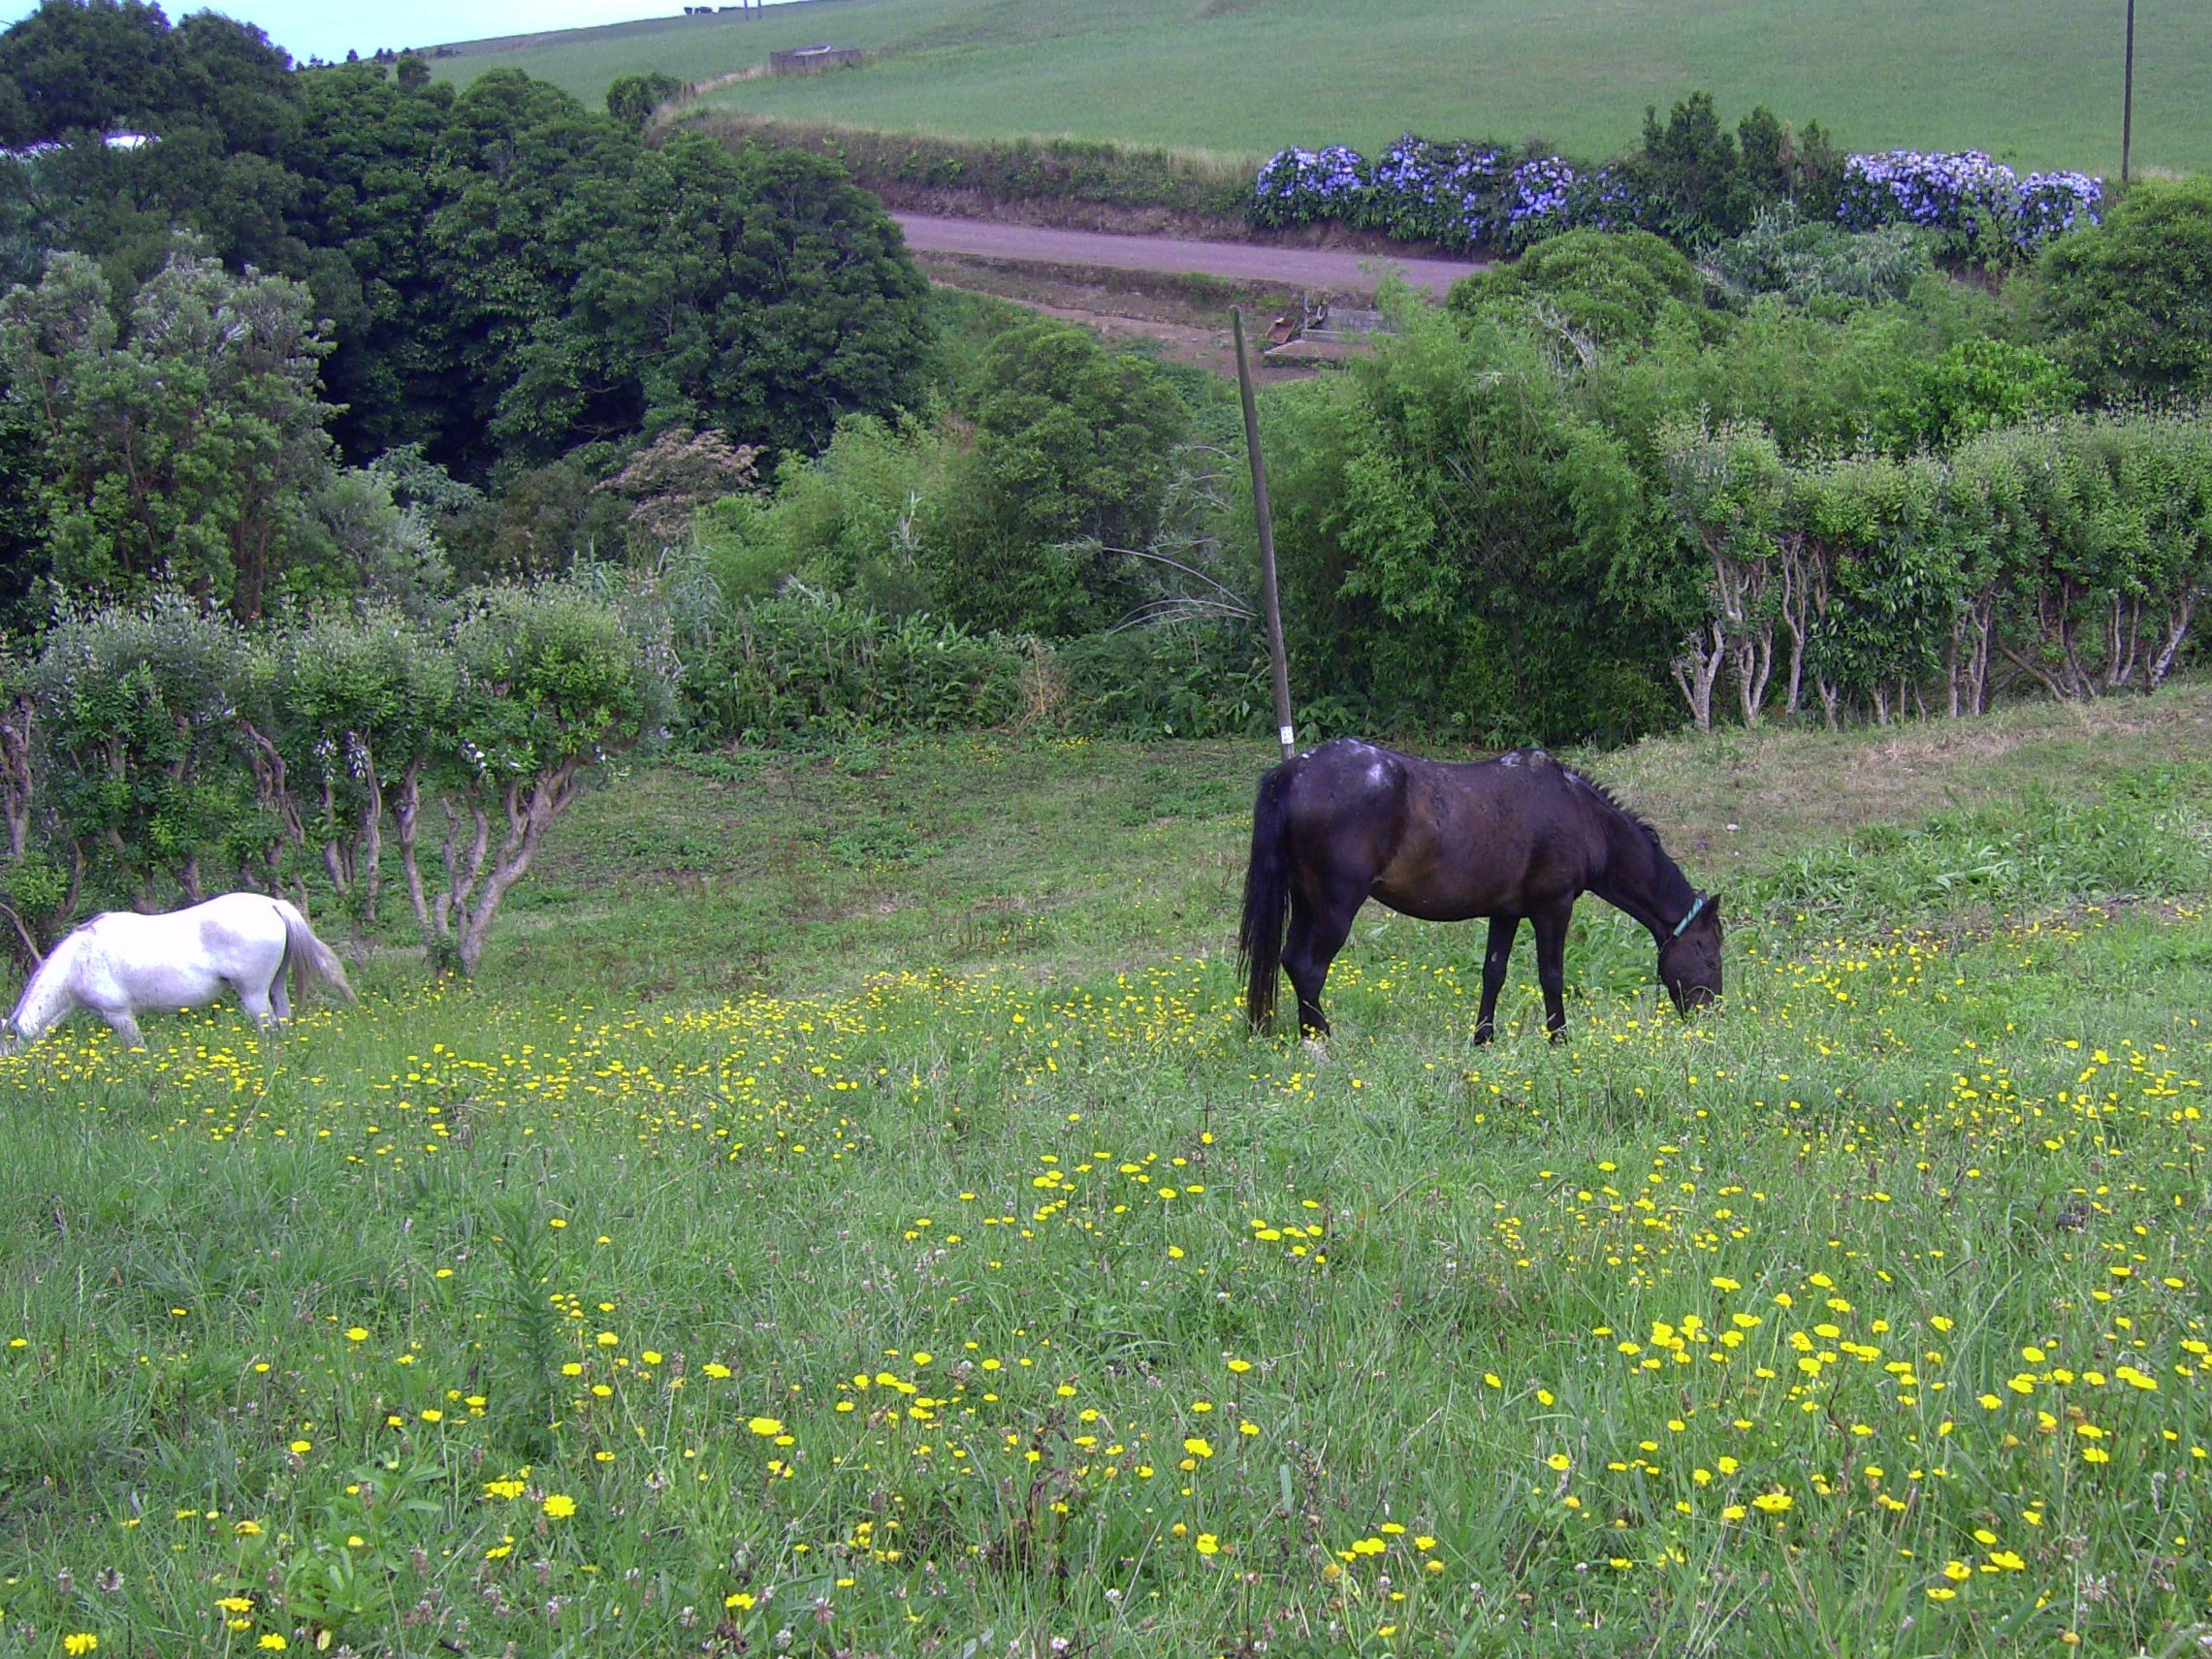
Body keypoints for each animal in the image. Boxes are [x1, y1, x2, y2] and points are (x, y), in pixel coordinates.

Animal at [3, 898, 353, 1052]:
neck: (80, 960)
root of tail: (272, 904)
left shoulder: (120, 1015)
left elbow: (137, 1051)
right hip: (276, 985)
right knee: (284, 1020)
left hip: (253, 993)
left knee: (269, 1028)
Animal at [1238, 738, 1716, 1039]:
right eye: (1710, 957)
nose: (1711, 1016)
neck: (1580, 815)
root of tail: (1291, 772)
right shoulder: (1553, 907)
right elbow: (1552, 975)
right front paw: (1560, 1039)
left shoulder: (1505, 912)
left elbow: (1494, 973)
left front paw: (1483, 1038)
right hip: (1334, 908)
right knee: (1308, 967)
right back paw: (1322, 1039)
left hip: (1306, 902)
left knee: (1290, 959)